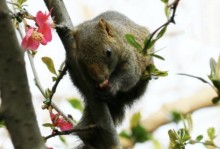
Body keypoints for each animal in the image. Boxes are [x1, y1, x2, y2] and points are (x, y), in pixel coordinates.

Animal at [66, 11, 154, 148]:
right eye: (81, 61)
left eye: (109, 52)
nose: (100, 78)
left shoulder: (130, 56)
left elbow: (129, 76)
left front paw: (112, 86)